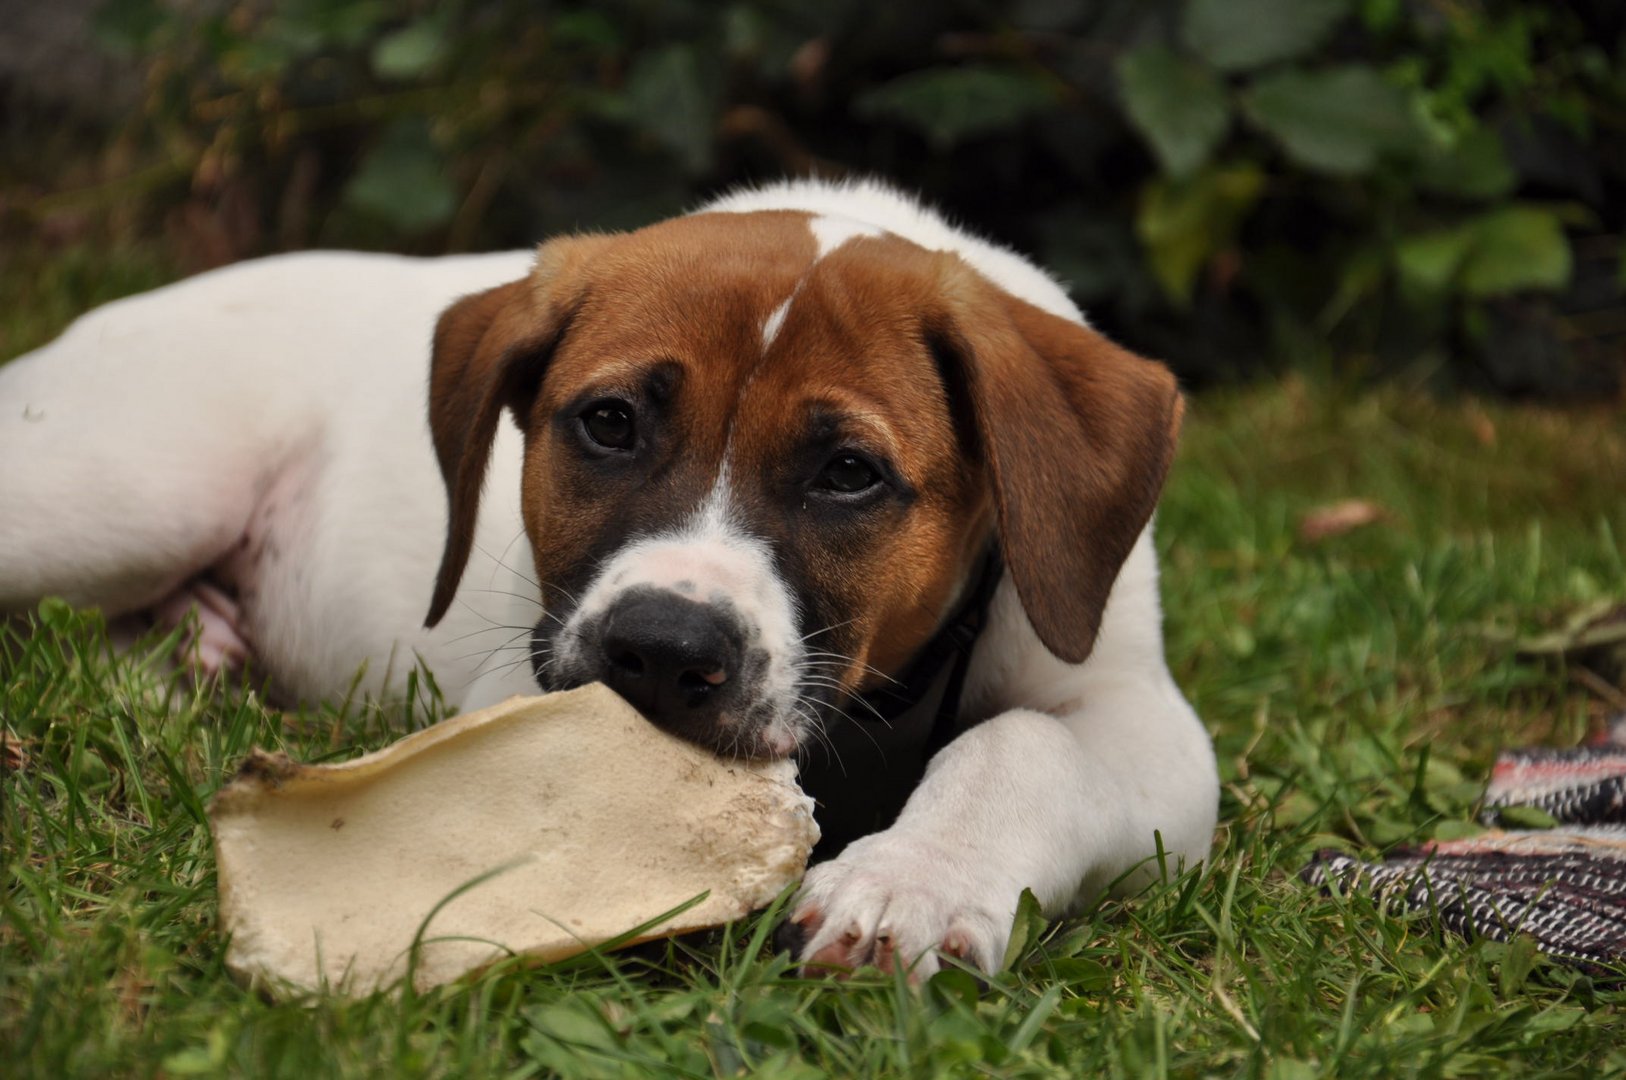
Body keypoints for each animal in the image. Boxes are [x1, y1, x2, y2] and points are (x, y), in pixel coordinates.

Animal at [0, 178, 1216, 975]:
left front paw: (909, 883)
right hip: (129, 490)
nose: (664, 652)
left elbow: (1023, 745)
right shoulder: (516, 684)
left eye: (849, 474)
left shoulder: (1144, 721)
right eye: (610, 422)